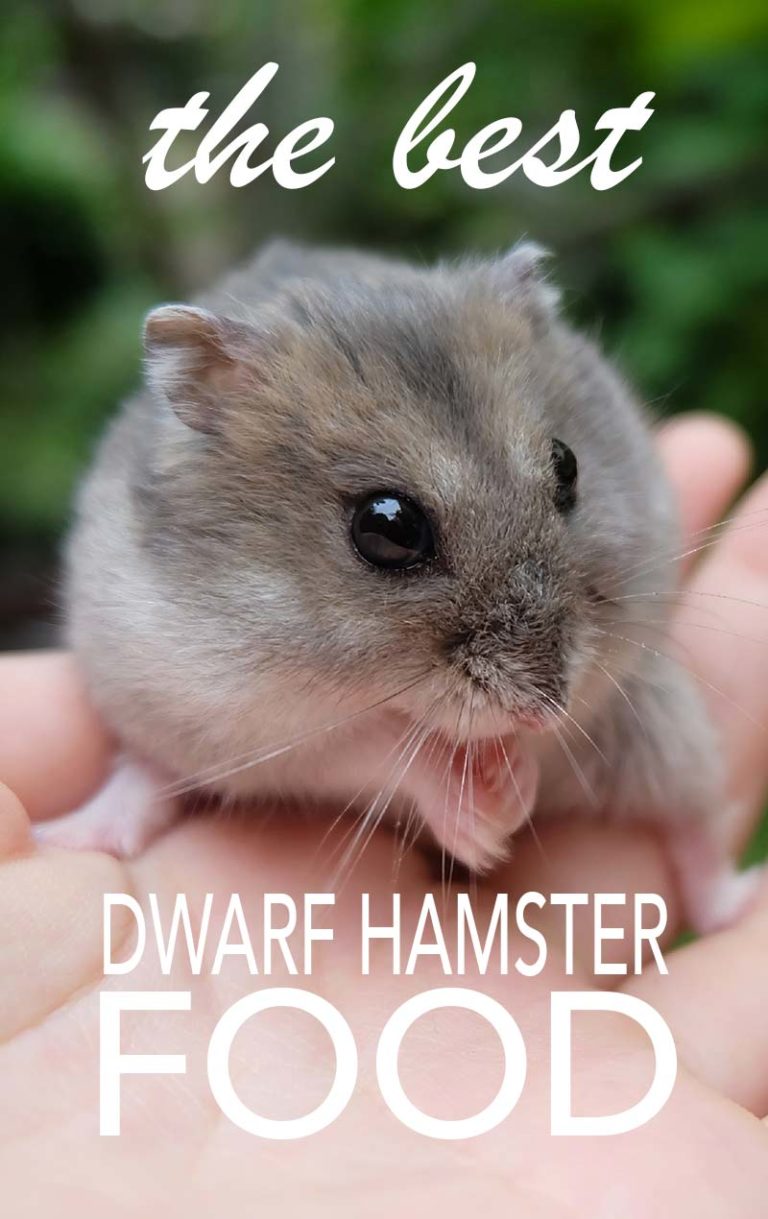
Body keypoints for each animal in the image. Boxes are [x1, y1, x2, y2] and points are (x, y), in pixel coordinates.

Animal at [45, 239, 751, 931]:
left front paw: (513, 772)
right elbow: (382, 746)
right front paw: (494, 808)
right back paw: (77, 833)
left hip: (670, 732)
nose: (545, 711)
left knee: (694, 832)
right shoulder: (246, 722)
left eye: (567, 463)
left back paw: (741, 899)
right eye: (387, 526)